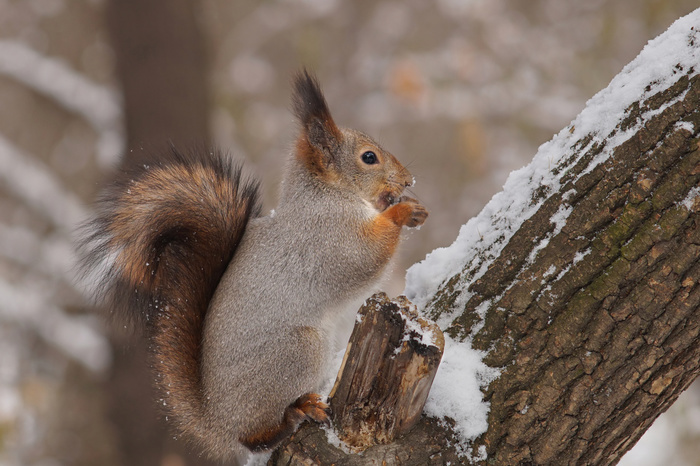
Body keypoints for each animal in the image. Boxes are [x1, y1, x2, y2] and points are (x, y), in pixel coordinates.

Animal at [76, 71, 426, 460]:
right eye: (369, 157)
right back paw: (292, 415)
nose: (408, 179)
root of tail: (216, 422)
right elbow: (368, 253)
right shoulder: (330, 237)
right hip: (298, 352)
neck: (324, 194)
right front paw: (403, 211)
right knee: (253, 436)